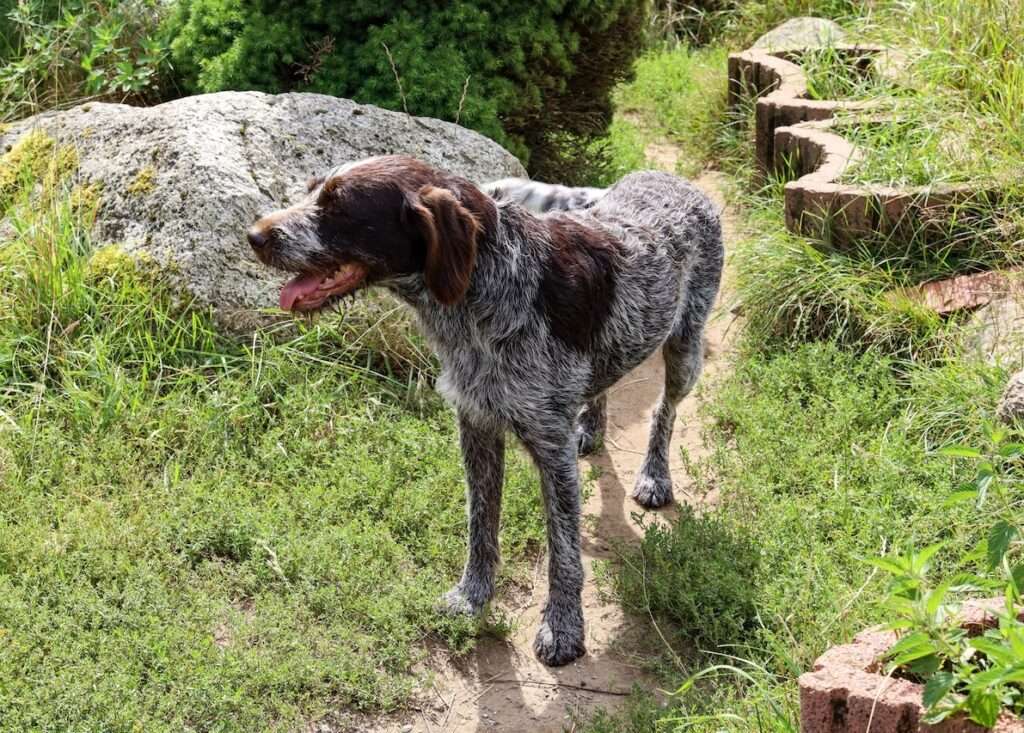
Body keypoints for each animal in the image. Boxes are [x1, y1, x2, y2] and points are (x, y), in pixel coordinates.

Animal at [247, 154, 724, 663]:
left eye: (339, 207)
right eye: (311, 190)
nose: (253, 235)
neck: (487, 286)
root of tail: (669, 180)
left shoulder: (549, 445)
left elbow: (563, 550)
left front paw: (563, 626)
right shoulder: (475, 426)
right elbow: (481, 525)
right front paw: (472, 596)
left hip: (686, 348)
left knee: (664, 412)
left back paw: (654, 475)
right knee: (603, 384)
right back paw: (591, 427)